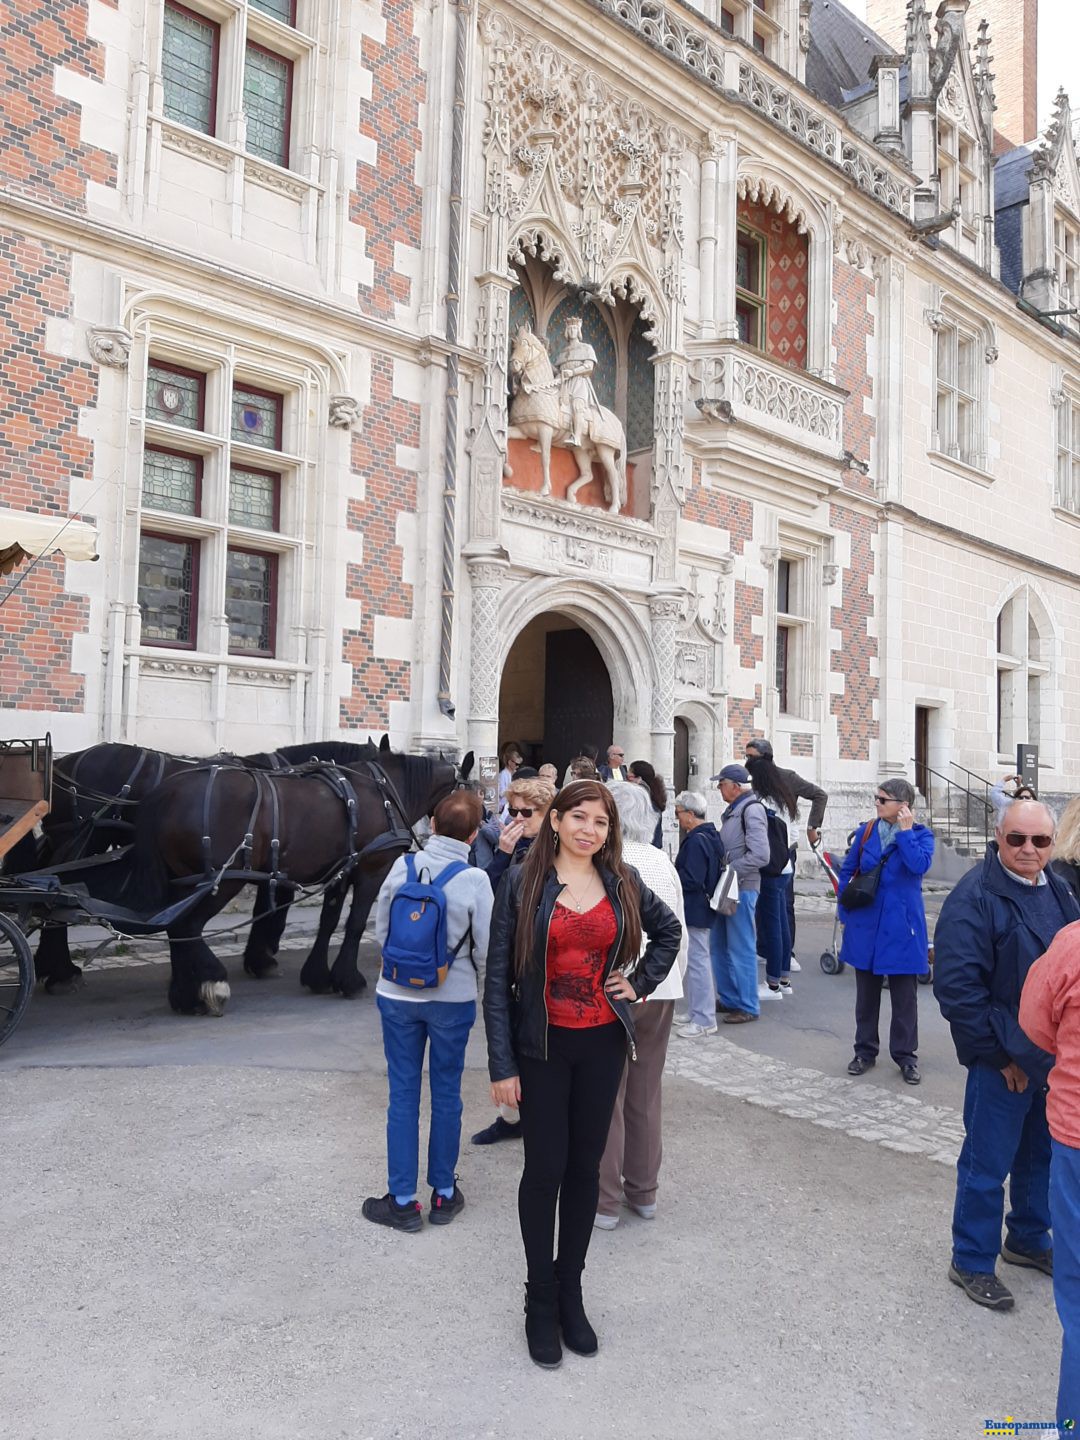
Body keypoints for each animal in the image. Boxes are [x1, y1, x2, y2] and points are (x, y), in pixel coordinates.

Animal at [114, 748, 460, 1019]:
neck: (385, 792)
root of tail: (166, 791)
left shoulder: (341, 871)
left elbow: (328, 921)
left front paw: (318, 976)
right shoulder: (372, 869)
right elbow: (355, 923)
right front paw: (349, 980)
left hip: (184, 880)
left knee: (177, 931)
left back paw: (185, 996)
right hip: (223, 879)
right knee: (186, 926)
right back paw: (212, 983)